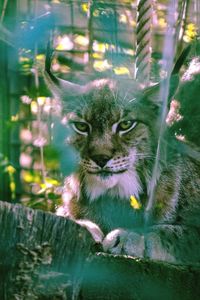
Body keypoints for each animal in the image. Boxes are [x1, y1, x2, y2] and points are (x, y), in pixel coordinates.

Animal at [44, 49, 200, 264]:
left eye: (126, 125)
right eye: (82, 126)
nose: (101, 158)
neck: (115, 194)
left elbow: (176, 232)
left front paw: (133, 236)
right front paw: (80, 223)